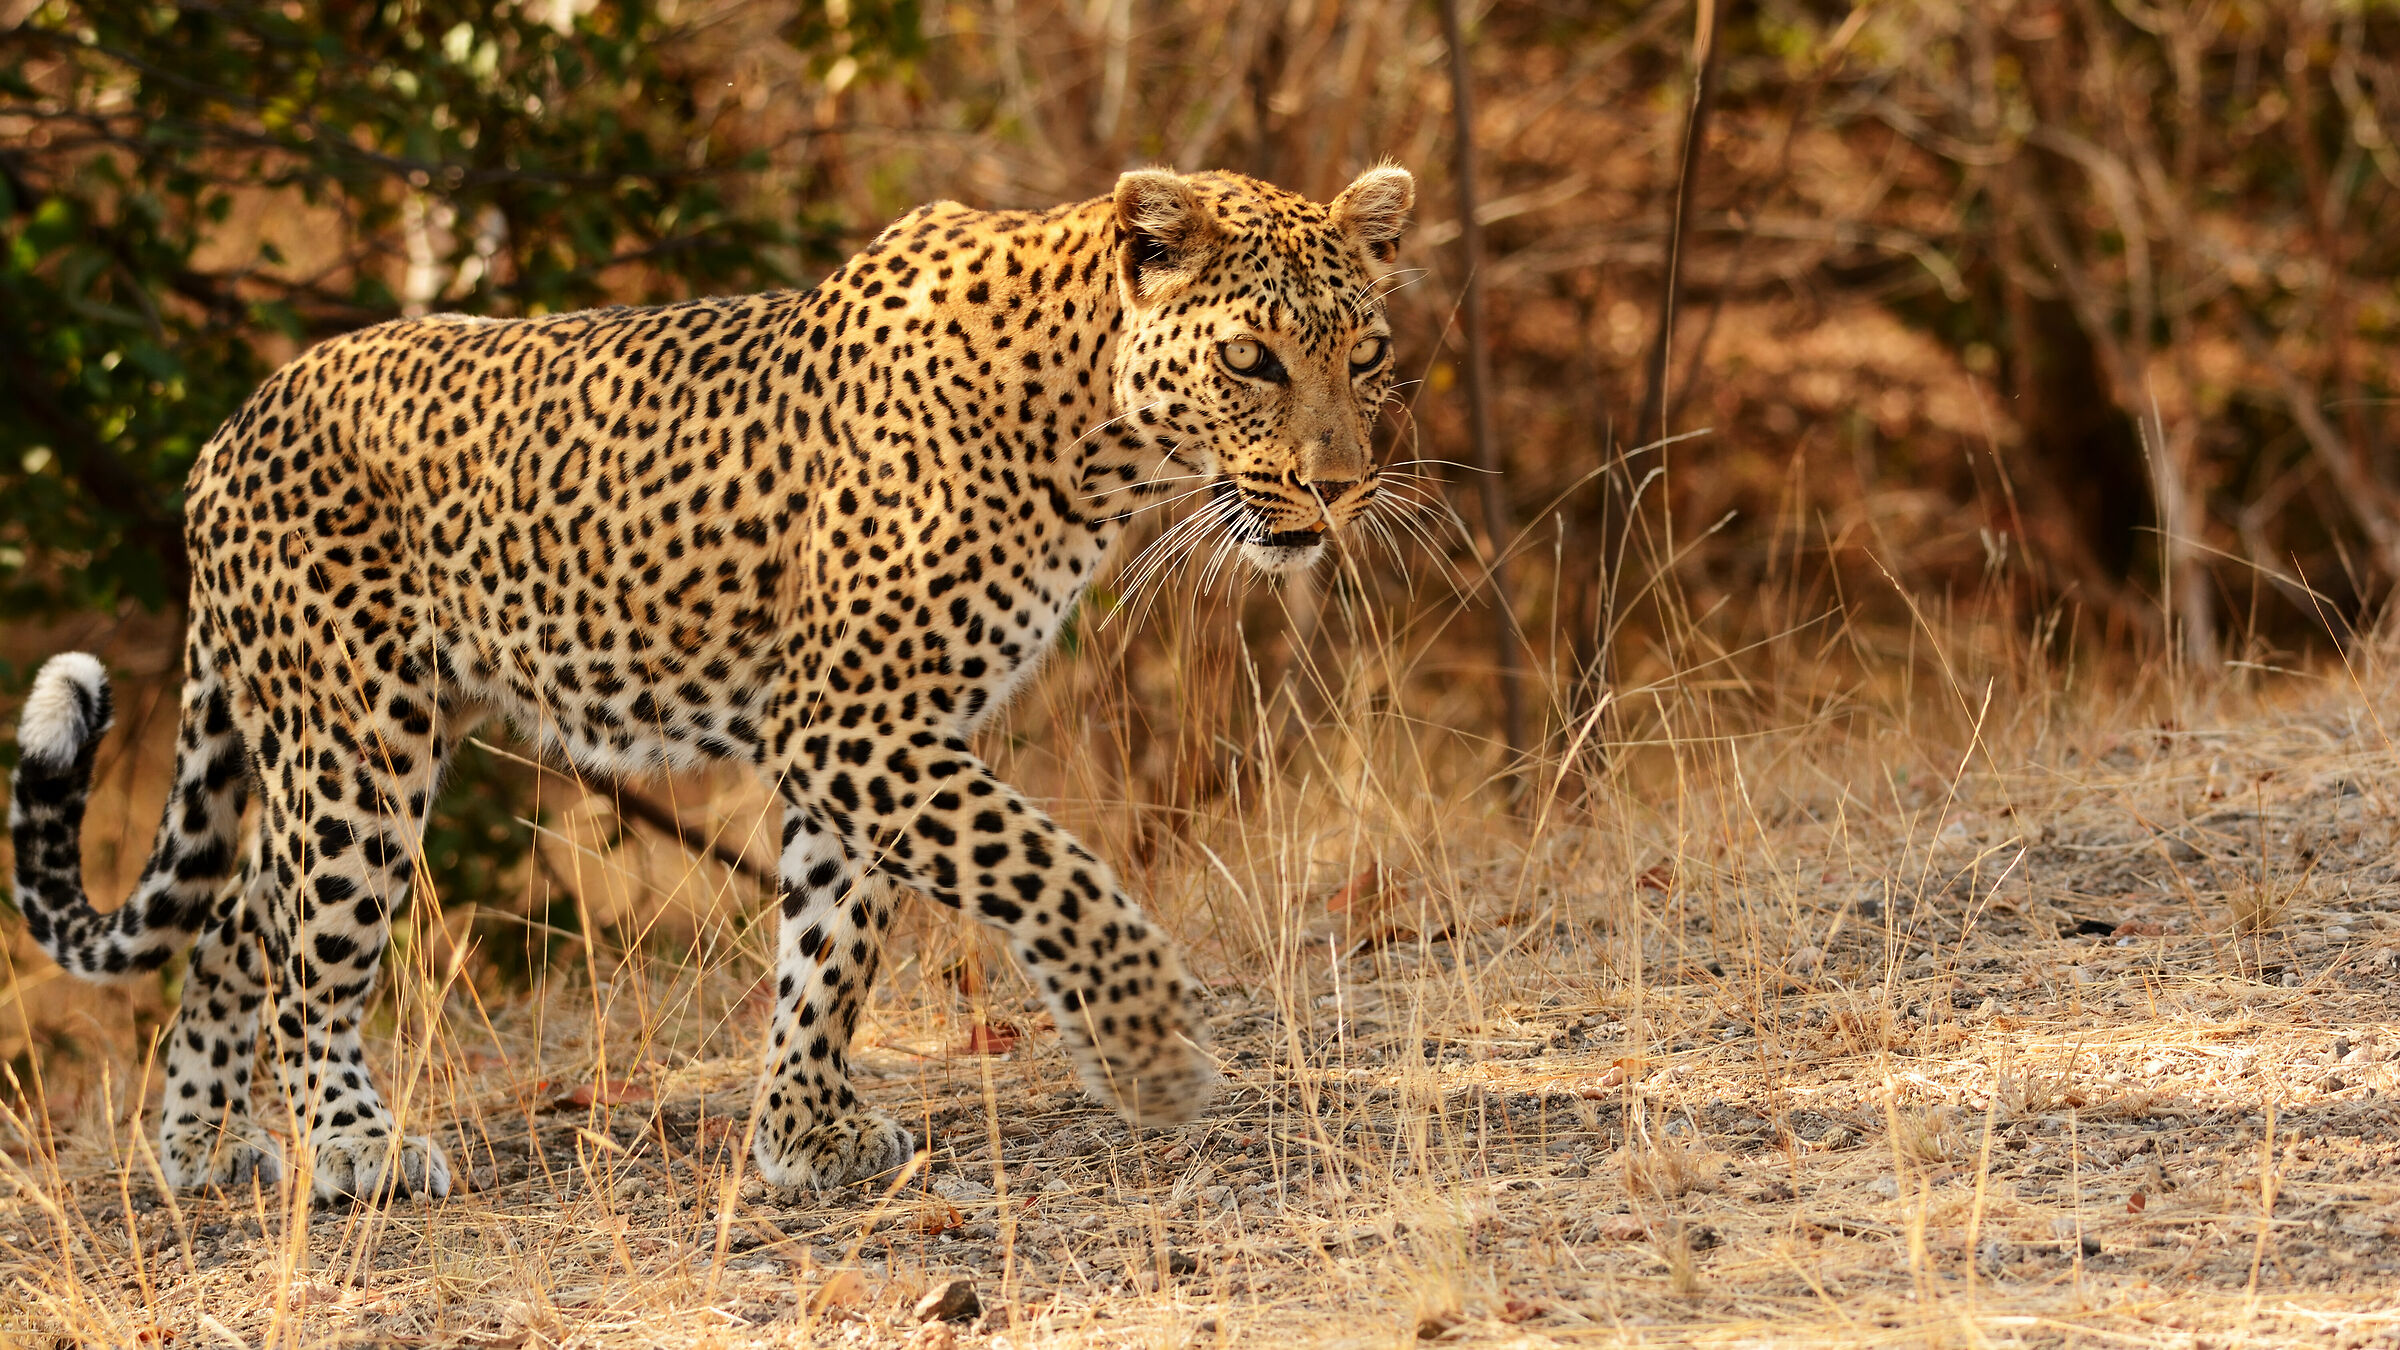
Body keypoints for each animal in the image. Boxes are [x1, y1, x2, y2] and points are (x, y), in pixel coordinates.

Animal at [7, 164, 1416, 1203]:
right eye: (1252, 360)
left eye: (1369, 353)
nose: (1342, 489)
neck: (1091, 433)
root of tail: (227, 433)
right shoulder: (853, 722)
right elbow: (1046, 868)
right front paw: (1152, 1050)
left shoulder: (882, 735)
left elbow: (829, 945)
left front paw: (805, 1135)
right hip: (358, 740)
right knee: (306, 948)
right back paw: (354, 1147)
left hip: (347, 733)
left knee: (242, 917)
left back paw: (201, 1148)